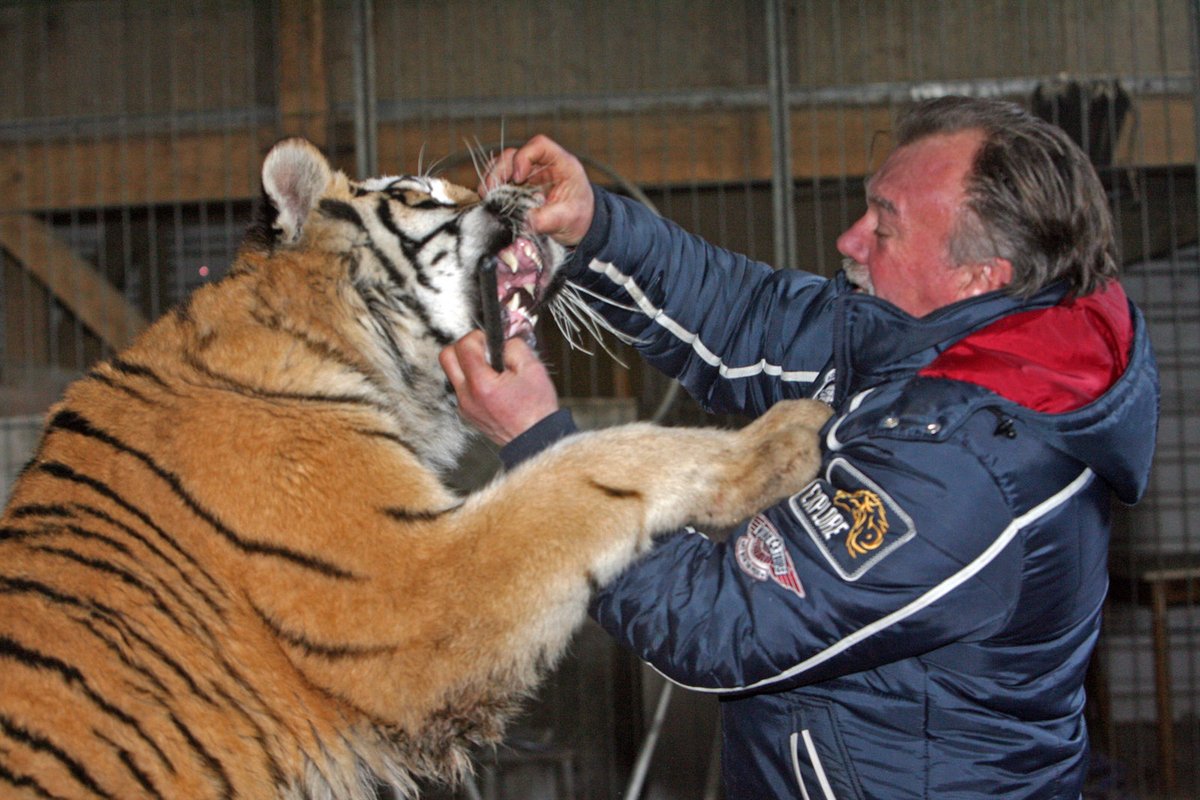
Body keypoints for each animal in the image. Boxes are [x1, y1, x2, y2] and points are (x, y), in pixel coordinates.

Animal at [0, 139, 835, 800]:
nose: (528, 189)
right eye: (423, 194)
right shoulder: (411, 588)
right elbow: (588, 464)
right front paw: (783, 438)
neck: (324, 338)